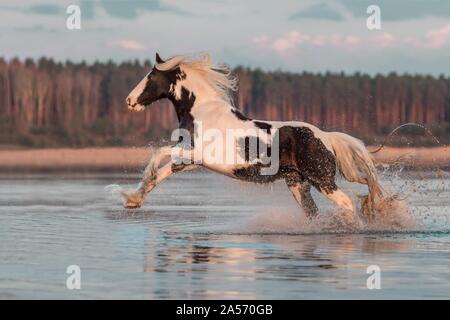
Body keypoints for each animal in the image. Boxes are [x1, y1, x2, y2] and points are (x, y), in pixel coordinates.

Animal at [122, 52, 390, 224]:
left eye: (150, 76)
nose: (129, 100)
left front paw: (137, 188)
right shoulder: (193, 159)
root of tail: (326, 137)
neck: (203, 112)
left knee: (347, 203)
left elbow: (159, 155)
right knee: (313, 212)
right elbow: (162, 173)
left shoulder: (197, 154)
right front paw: (133, 199)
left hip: (322, 180)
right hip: (297, 184)